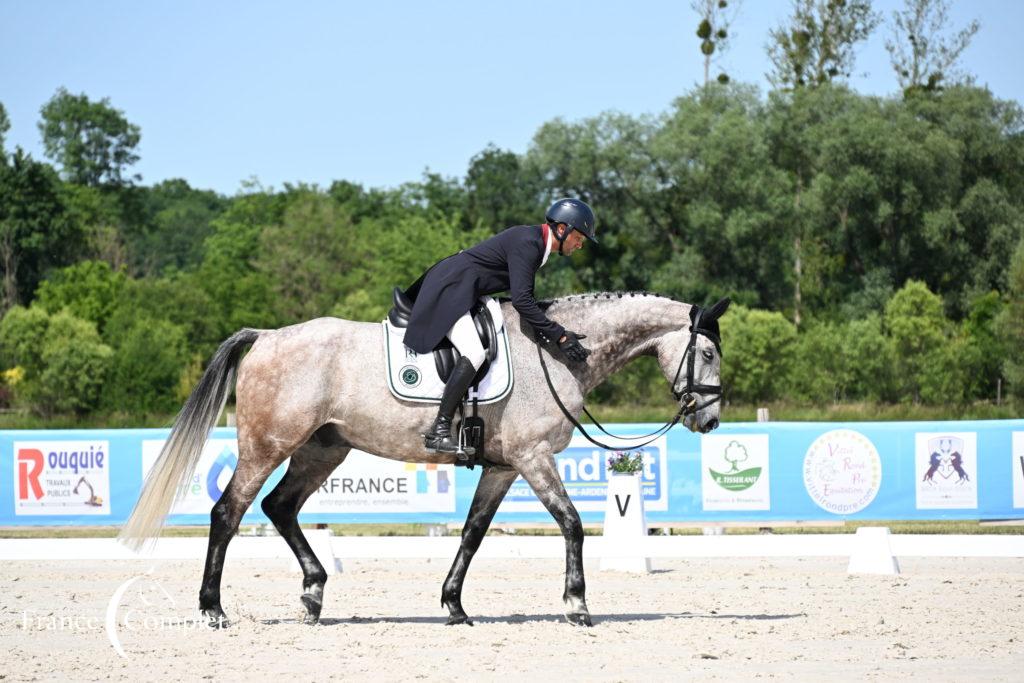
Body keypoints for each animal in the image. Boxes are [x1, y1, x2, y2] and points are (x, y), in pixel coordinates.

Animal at [119, 290, 729, 626]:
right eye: (706, 352)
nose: (710, 421)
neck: (554, 353)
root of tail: (267, 335)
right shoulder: (533, 458)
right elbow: (573, 524)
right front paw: (577, 605)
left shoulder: (504, 466)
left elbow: (473, 533)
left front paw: (454, 606)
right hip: (269, 445)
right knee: (230, 512)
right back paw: (212, 609)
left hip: (323, 449)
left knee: (280, 509)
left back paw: (313, 593)